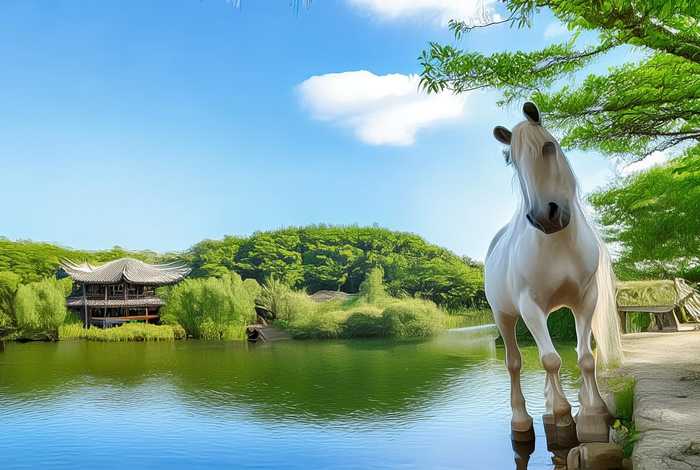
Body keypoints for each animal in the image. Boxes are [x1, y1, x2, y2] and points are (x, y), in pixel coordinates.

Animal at [484, 102, 623, 444]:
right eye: (512, 160)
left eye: (549, 146)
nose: (544, 216)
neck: (558, 244)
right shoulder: (529, 306)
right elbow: (549, 359)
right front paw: (562, 416)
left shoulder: (586, 300)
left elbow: (585, 357)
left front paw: (593, 411)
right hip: (504, 316)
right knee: (515, 363)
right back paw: (522, 420)